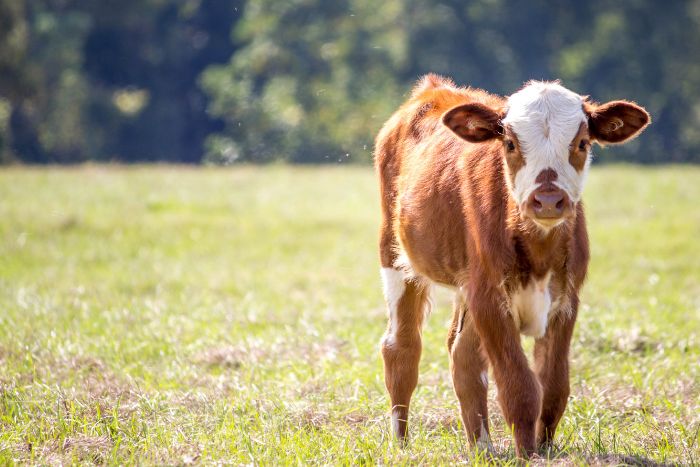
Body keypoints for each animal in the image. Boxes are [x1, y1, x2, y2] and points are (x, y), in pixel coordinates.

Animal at [374, 76, 648, 458]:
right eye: (510, 143)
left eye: (581, 142)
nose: (547, 200)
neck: (539, 249)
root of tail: (434, 88)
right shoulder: (489, 297)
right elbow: (519, 386)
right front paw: (528, 455)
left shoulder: (566, 299)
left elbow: (553, 386)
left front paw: (544, 449)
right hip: (395, 255)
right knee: (401, 348)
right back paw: (401, 443)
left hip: (466, 285)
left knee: (463, 355)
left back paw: (482, 448)